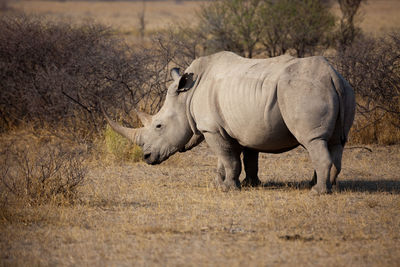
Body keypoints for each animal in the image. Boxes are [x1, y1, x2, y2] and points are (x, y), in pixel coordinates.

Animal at [104, 51, 356, 195]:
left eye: (158, 126)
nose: (146, 157)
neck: (186, 97)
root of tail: (331, 75)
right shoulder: (236, 127)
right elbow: (237, 159)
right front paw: (244, 184)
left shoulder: (212, 129)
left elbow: (229, 158)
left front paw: (229, 189)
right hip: (344, 87)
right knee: (336, 142)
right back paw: (327, 186)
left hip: (302, 90)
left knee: (314, 140)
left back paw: (317, 191)